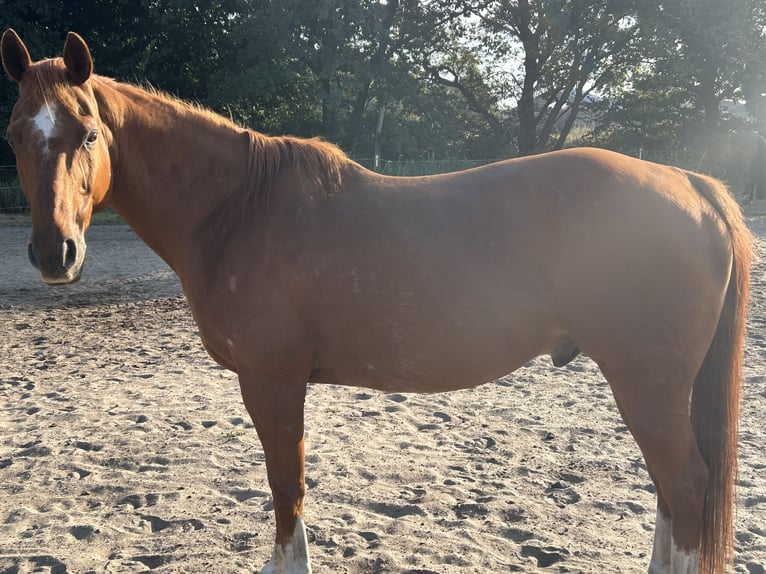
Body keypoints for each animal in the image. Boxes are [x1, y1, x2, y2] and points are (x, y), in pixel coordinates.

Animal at [1, 29, 756, 572]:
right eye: (14, 134)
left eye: (88, 133)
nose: (53, 254)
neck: (238, 208)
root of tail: (693, 184)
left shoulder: (271, 382)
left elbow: (286, 487)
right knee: (673, 494)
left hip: (647, 384)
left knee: (684, 487)